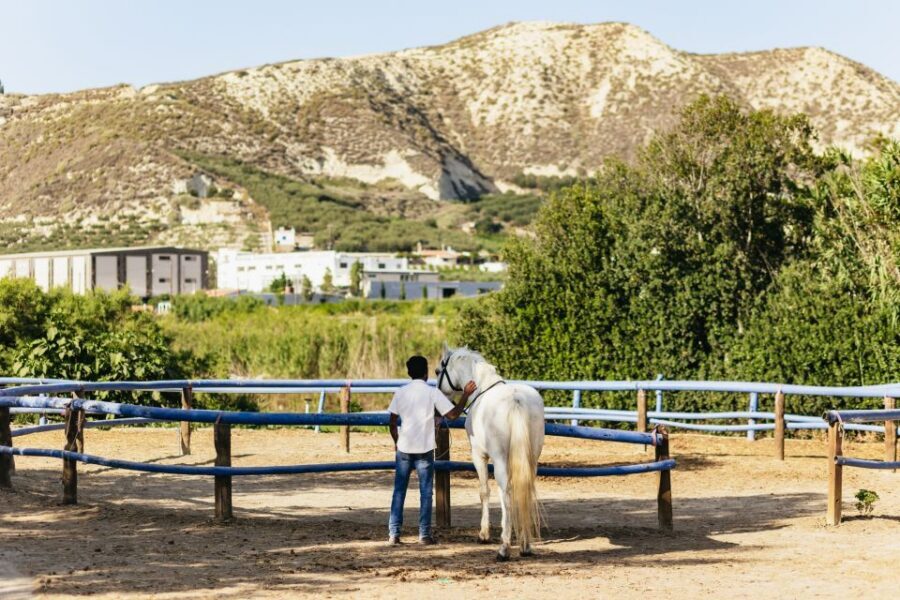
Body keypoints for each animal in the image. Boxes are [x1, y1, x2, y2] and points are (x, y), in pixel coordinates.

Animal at [436, 343, 545, 560]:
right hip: (532, 459)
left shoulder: (479, 456)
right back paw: (525, 545)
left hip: (500, 460)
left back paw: (504, 548)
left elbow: (484, 491)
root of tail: (516, 399)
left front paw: (484, 534)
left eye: (438, 370)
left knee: (506, 493)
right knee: (524, 491)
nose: (440, 392)